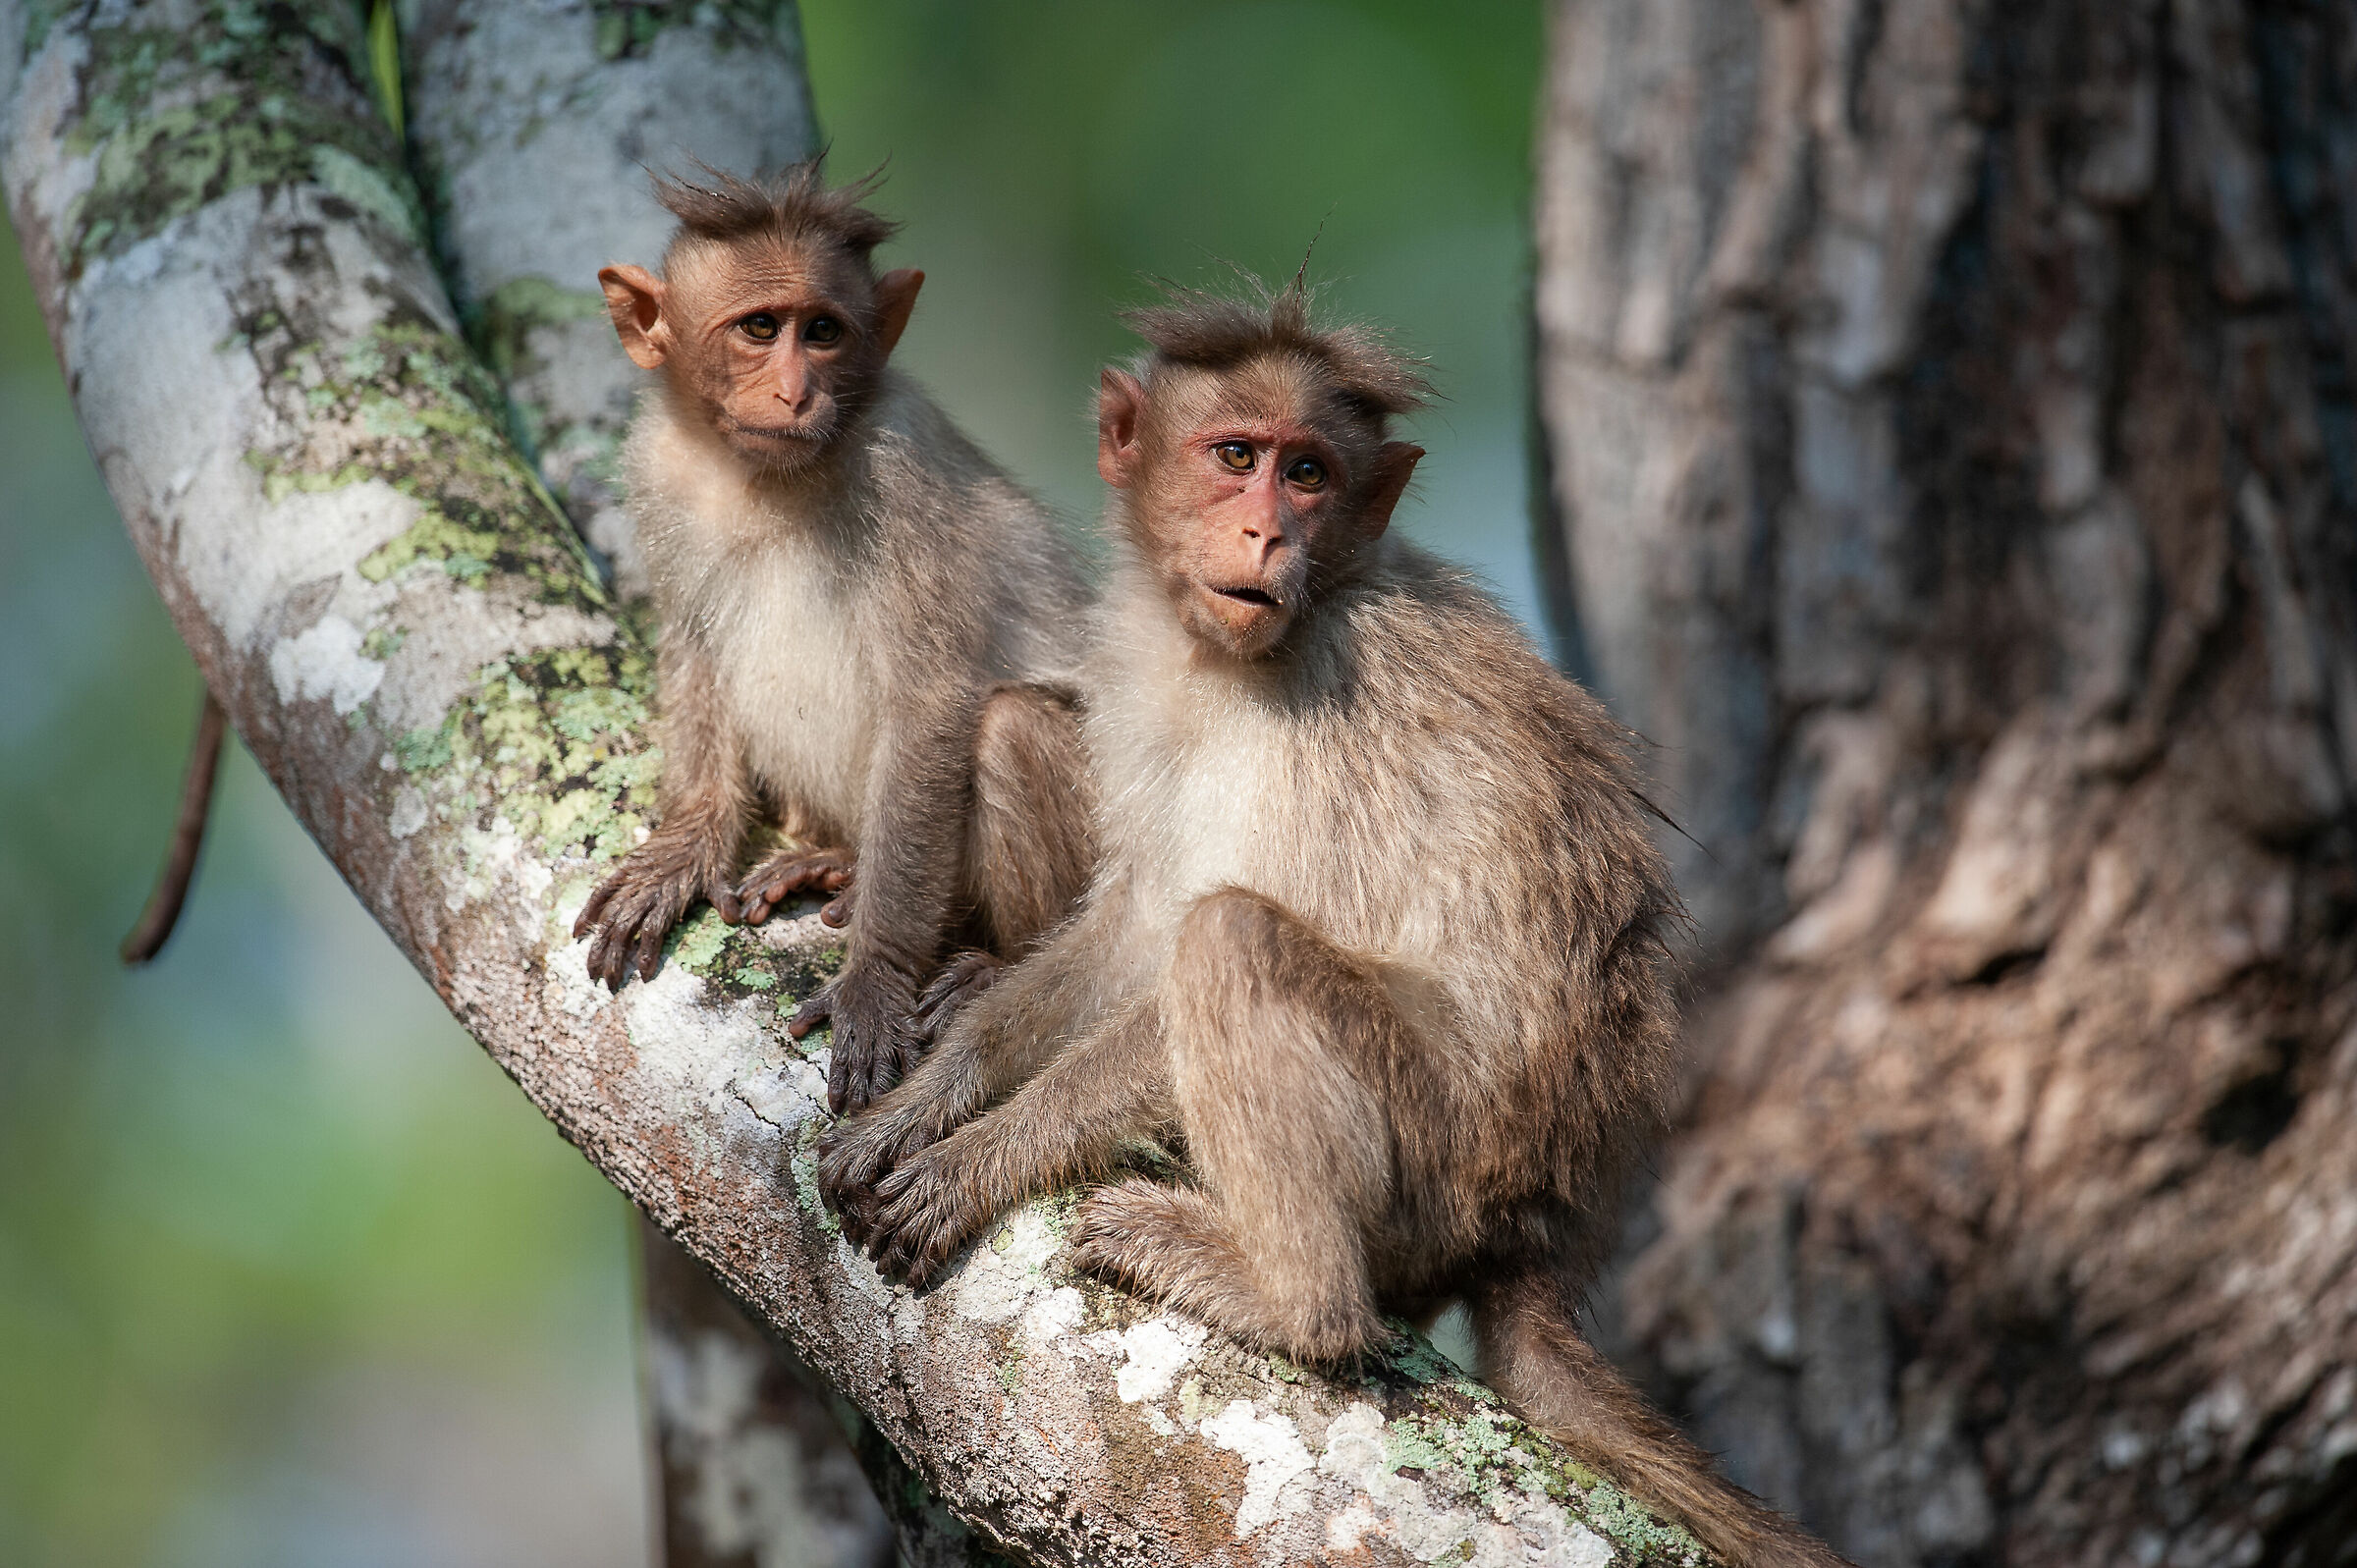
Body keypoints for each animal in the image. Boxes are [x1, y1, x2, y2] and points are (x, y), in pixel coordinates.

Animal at [572, 162, 1097, 1115]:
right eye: (759, 328)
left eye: (822, 332)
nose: (796, 392)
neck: (763, 478)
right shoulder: (658, 469)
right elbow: (692, 649)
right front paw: (687, 844)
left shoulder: (901, 463)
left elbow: (930, 703)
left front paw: (876, 981)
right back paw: (832, 862)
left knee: (1008, 729)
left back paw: (996, 964)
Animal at [815, 284, 1850, 1568]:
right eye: (1238, 458)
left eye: (1310, 473)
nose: (1267, 534)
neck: (1247, 649)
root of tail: (1541, 1222)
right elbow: (1130, 929)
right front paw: (930, 1096)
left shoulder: (1322, 713)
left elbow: (1187, 948)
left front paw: (986, 1154)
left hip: (1442, 1162)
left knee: (1233, 944)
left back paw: (1293, 1301)